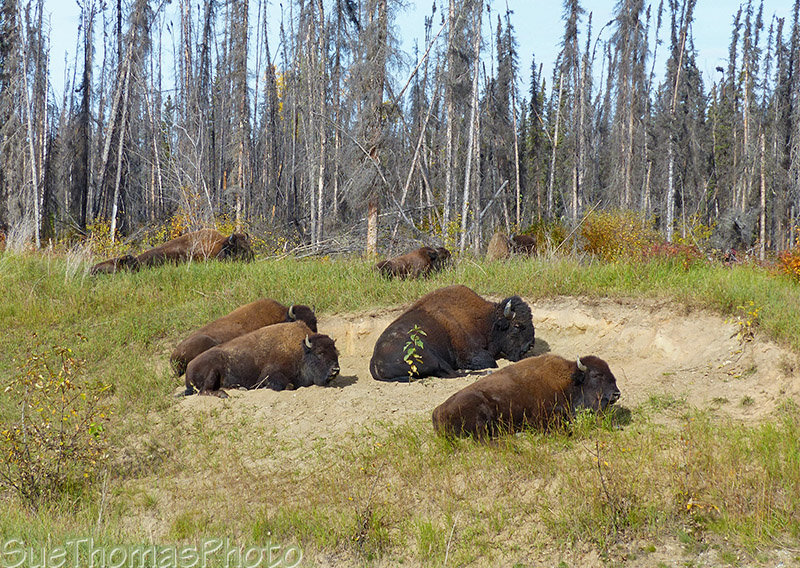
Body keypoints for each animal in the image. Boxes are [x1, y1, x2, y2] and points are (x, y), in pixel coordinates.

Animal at [184, 321, 340, 398]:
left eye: (336, 352)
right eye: (319, 353)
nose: (335, 370)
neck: (301, 351)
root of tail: (189, 367)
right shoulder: (270, 374)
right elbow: (288, 385)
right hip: (212, 371)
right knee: (204, 391)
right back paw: (224, 394)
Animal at [369, 285, 535, 382]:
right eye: (517, 325)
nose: (530, 345)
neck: (487, 320)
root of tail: (375, 360)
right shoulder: (469, 354)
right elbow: (490, 361)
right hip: (431, 358)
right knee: (453, 373)